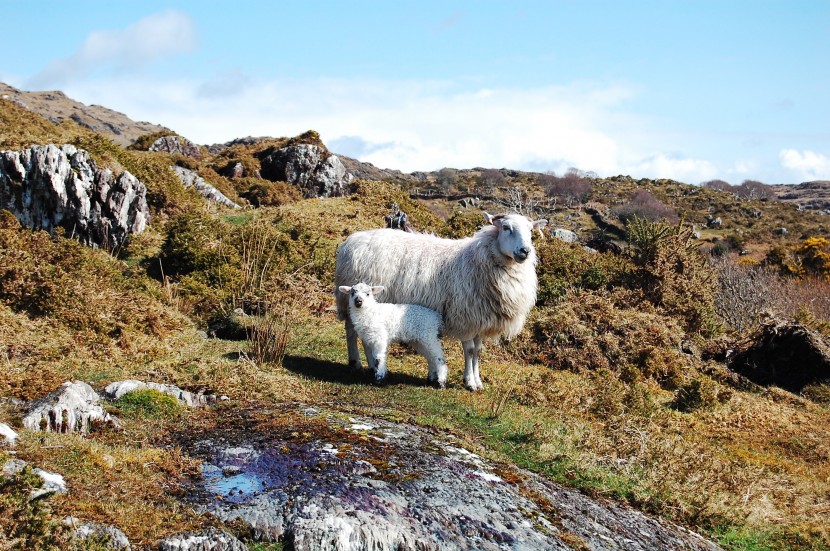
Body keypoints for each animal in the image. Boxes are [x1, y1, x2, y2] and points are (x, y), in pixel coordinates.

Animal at [334, 209, 548, 390]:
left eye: (530, 231)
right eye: (506, 227)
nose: (525, 251)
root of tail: (351, 241)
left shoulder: (480, 319)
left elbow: (478, 351)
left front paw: (478, 381)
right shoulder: (465, 317)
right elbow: (470, 350)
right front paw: (469, 382)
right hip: (354, 301)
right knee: (352, 332)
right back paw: (358, 363)